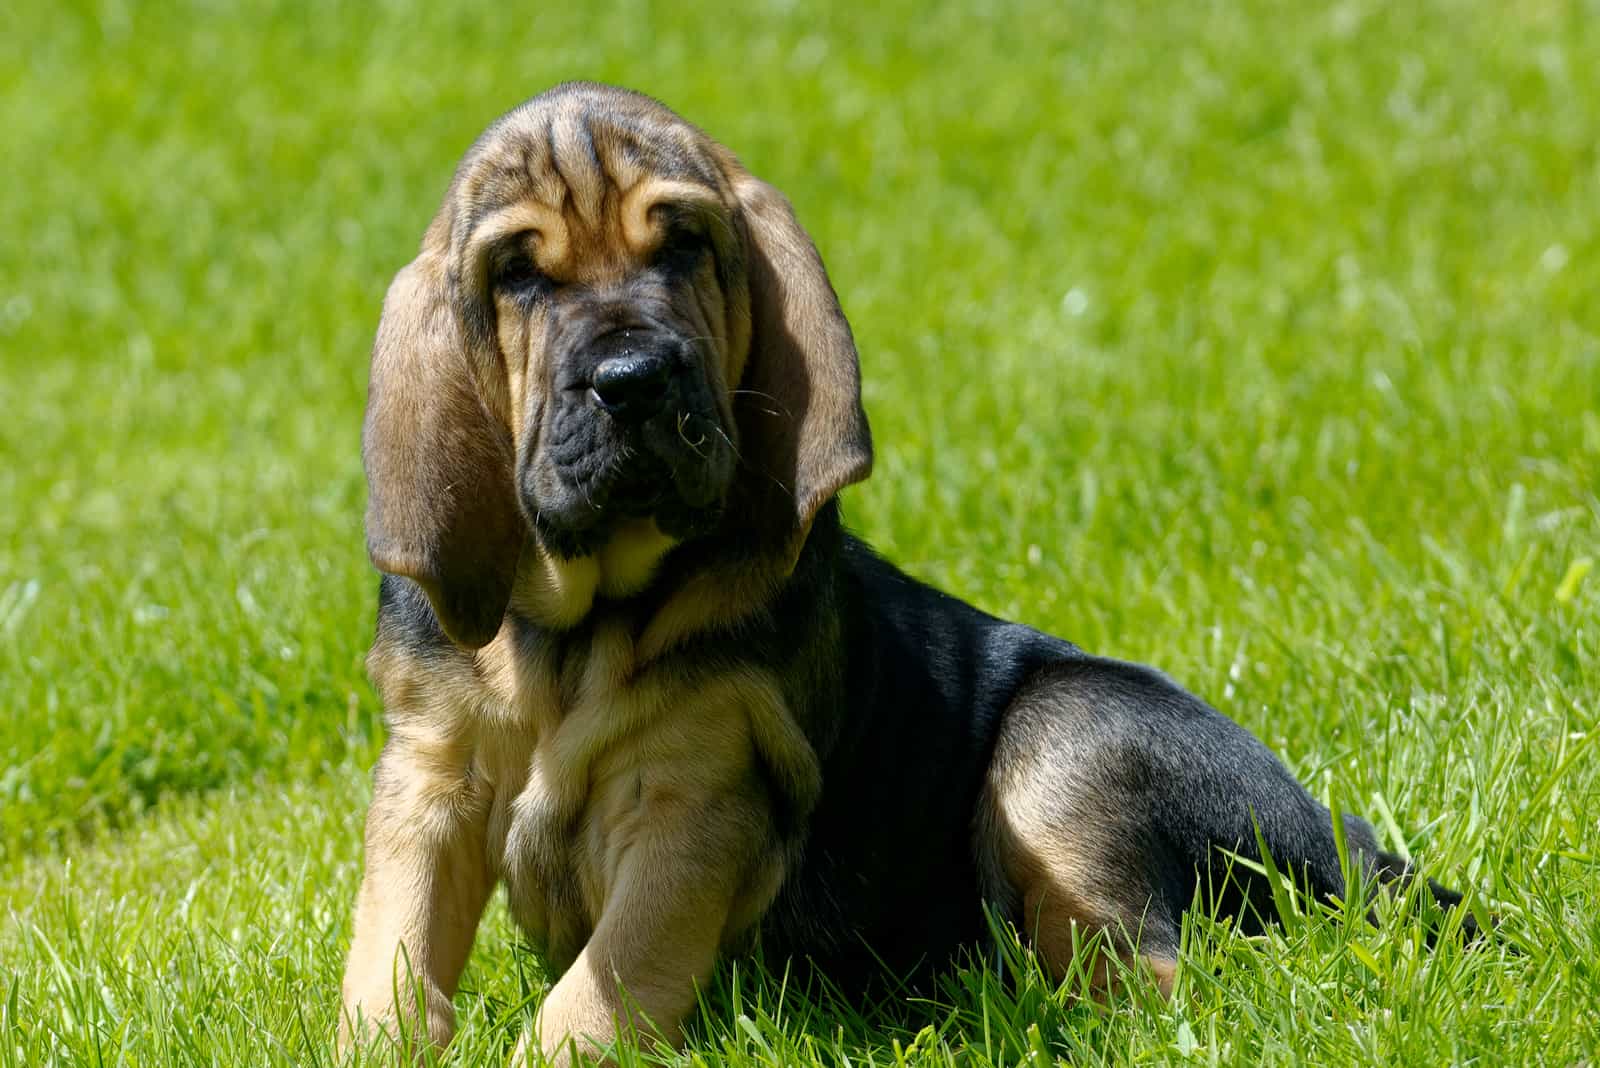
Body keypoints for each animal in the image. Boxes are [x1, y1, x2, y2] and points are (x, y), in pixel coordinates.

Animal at [340, 81, 1472, 1061]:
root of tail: (1347, 840)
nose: (633, 380)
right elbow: (388, 962)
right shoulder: (429, 780)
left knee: (1155, 981)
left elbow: (593, 999)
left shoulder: (692, 802)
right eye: (518, 277)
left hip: (1071, 737)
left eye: (684, 248)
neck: (576, 624)